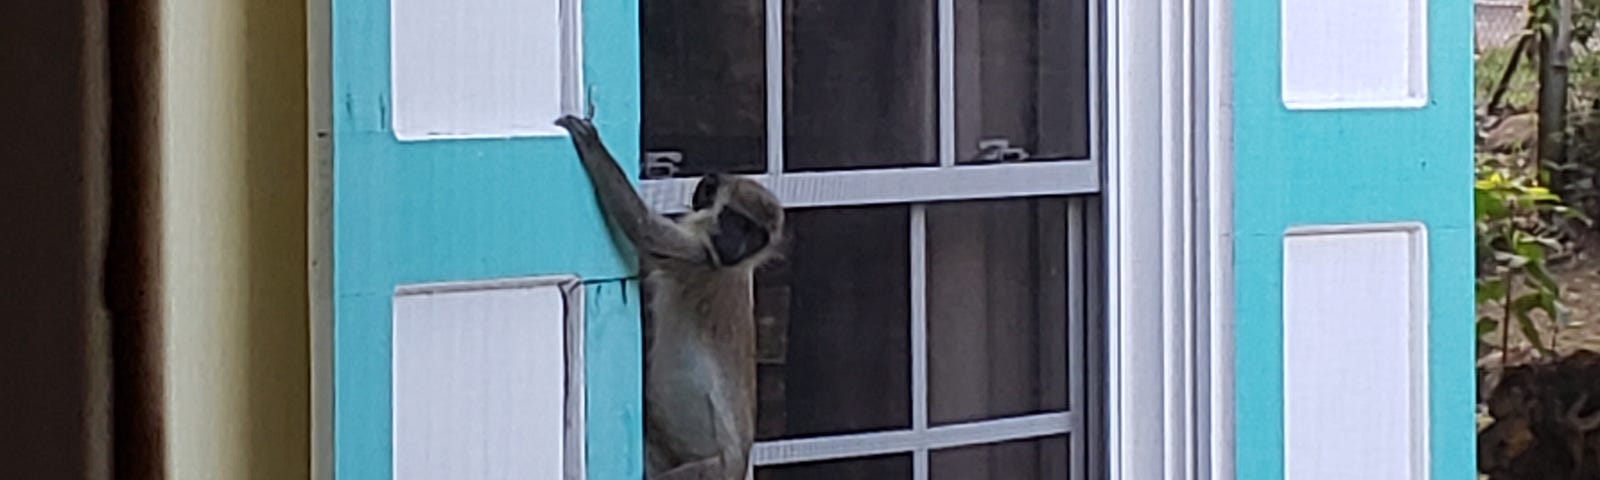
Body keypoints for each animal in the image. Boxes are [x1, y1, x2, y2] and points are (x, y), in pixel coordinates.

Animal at [553, 114, 784, 476]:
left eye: (753, 235)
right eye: (737, 222)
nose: (736, 246)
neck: (734, 265)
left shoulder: (698, 256)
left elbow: (643, 227)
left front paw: (592, 144)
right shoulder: (708, 252)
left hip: (709, 470)